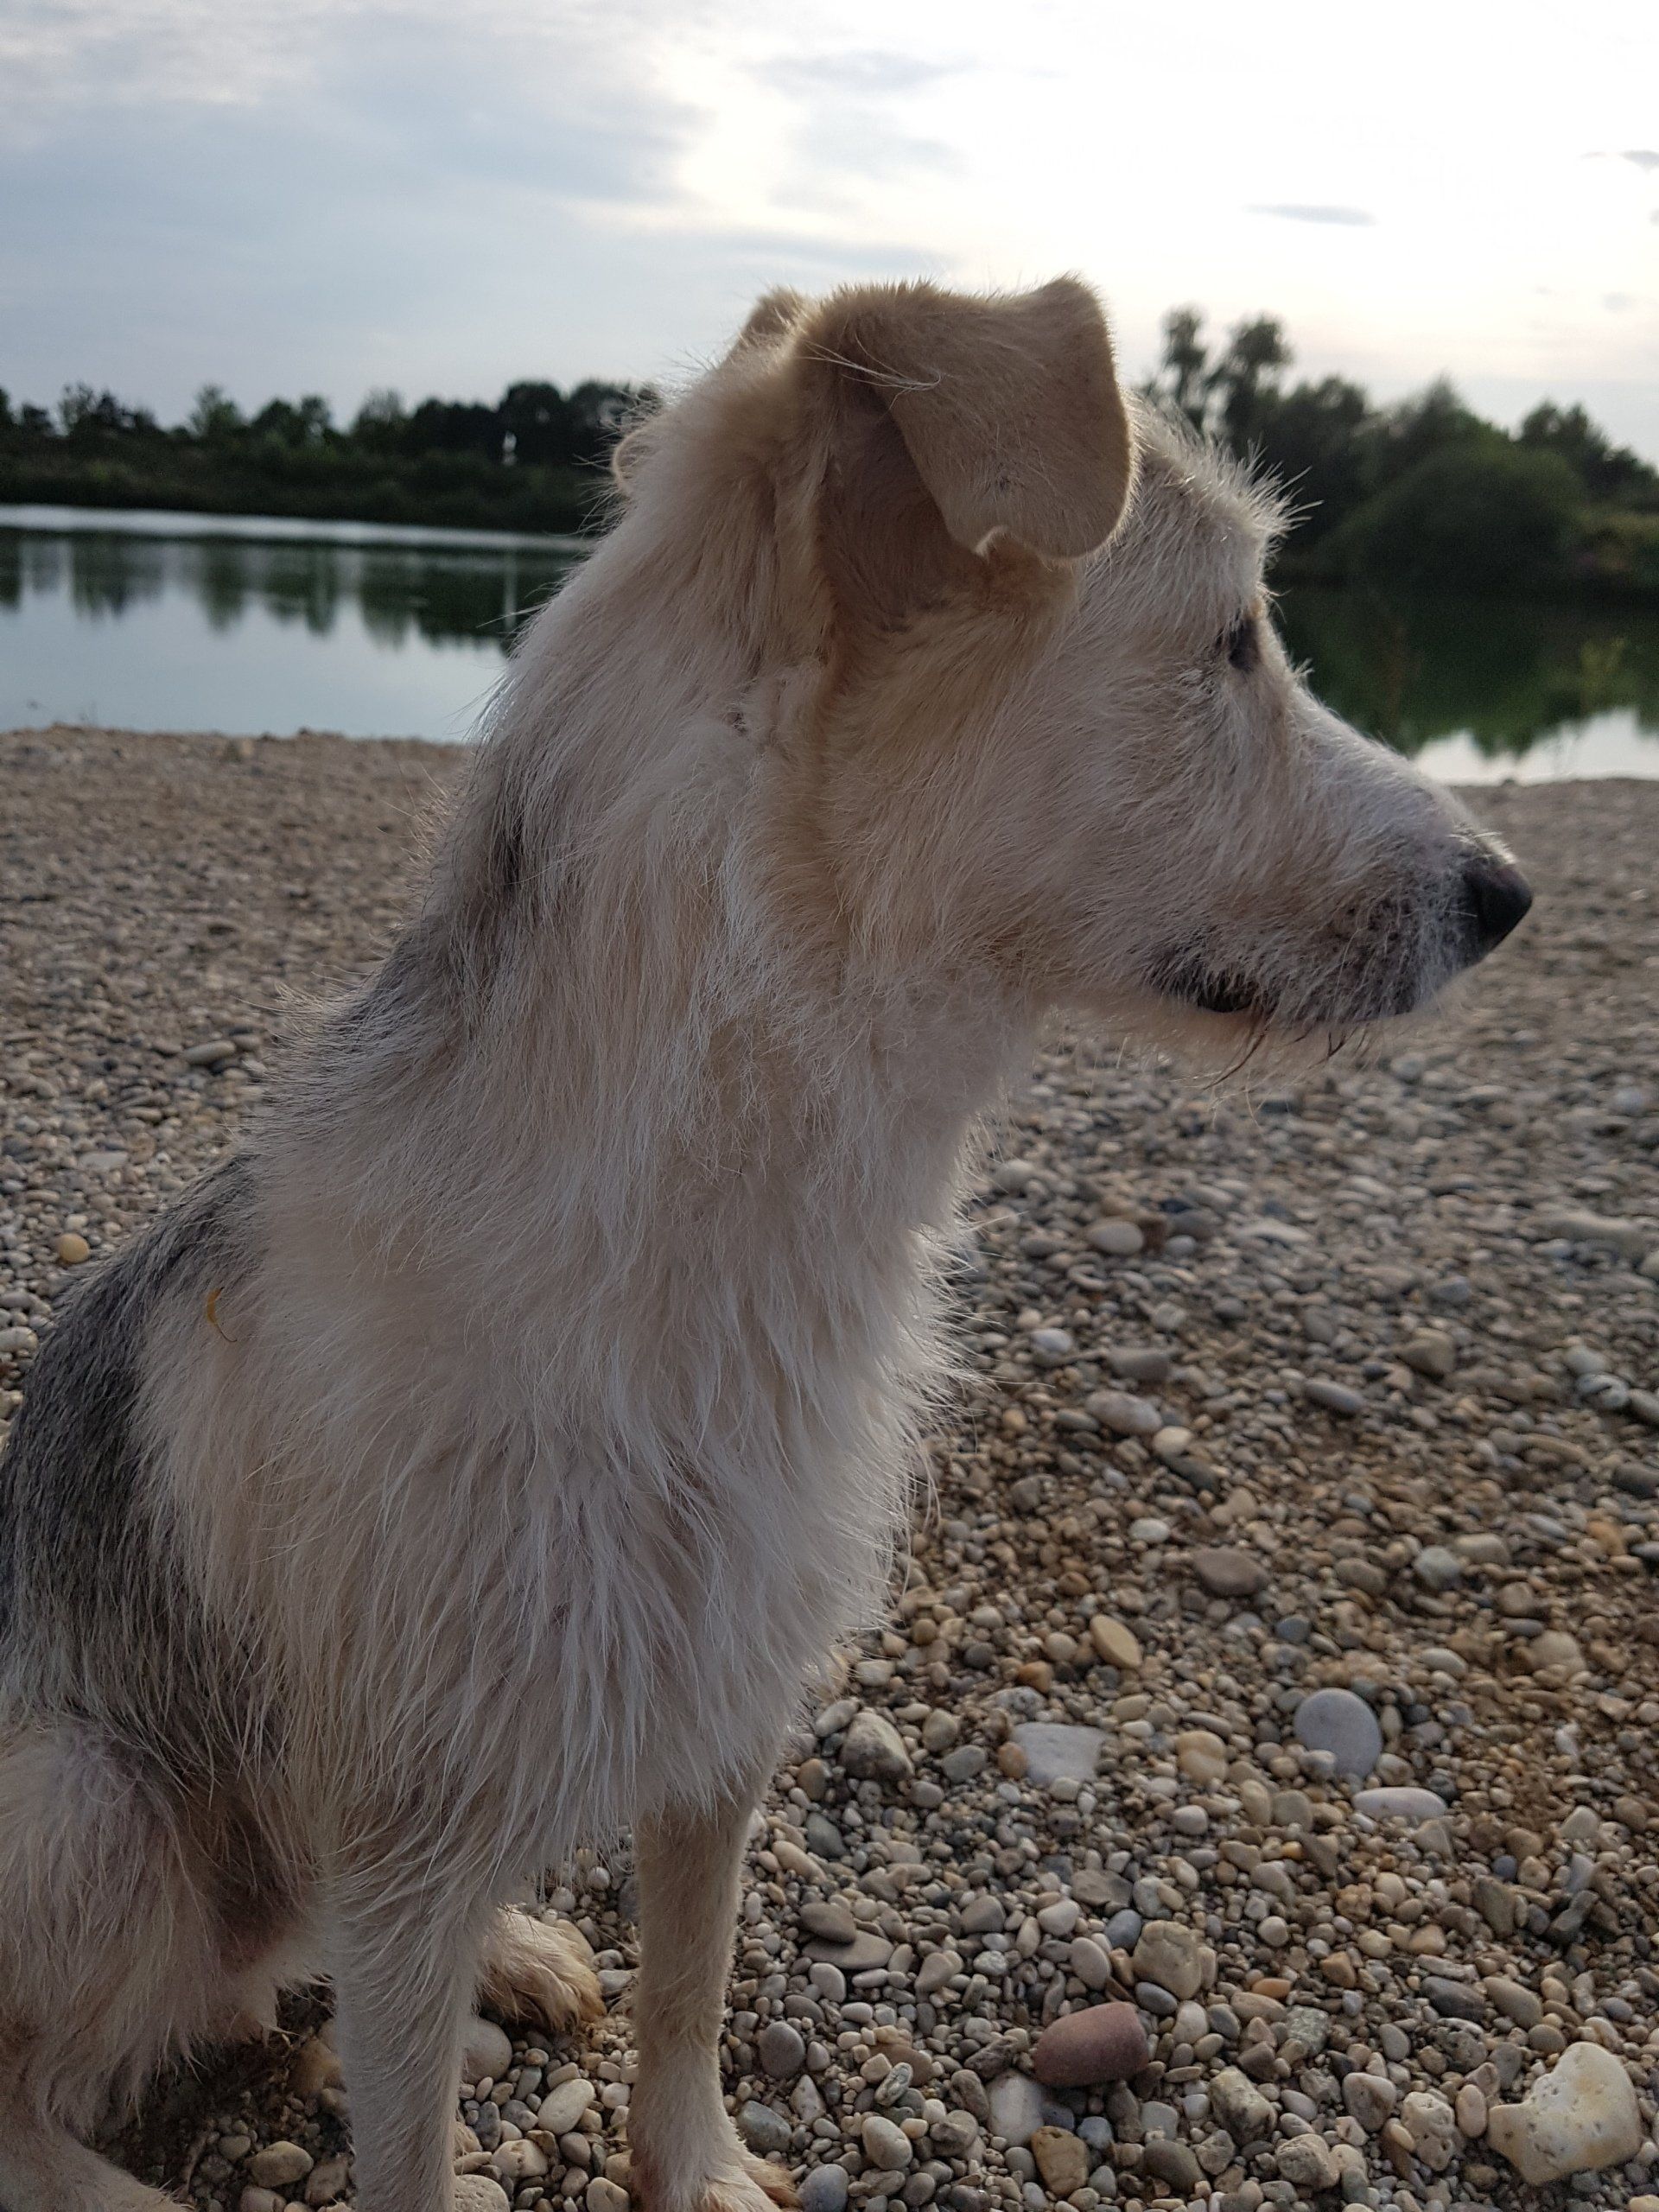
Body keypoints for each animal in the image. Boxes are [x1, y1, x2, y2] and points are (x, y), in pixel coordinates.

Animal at [0, 276, 1531, 2212]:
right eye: (1235, 642)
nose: (1509, 893)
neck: (716, 1194)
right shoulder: (407, 1841)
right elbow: (409, 2139)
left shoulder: (726, 1707)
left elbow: (695, 1982)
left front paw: (696, 2158)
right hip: (94, 1805)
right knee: (39, 2068)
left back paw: (515, 1945)